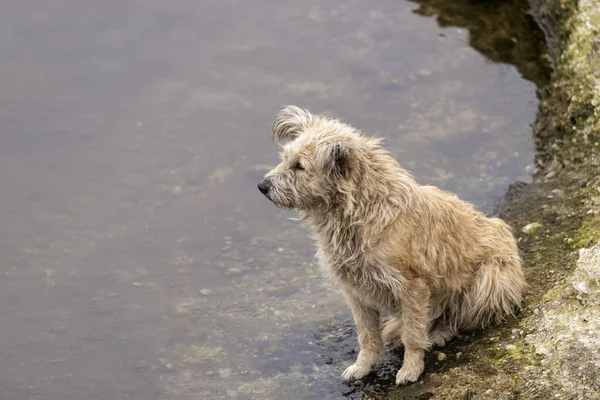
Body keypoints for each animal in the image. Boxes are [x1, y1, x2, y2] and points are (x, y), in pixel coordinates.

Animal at [258, 105, 524, 384]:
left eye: (299, 166)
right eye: (284, 158)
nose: (262, 186)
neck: (360, 211)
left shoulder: (411, 286)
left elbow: (414, 336)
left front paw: (411, 369)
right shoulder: (356, 291)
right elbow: (367, 336)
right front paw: (363, 366)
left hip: (490, 279)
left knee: (459, 316)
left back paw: (439, 332)